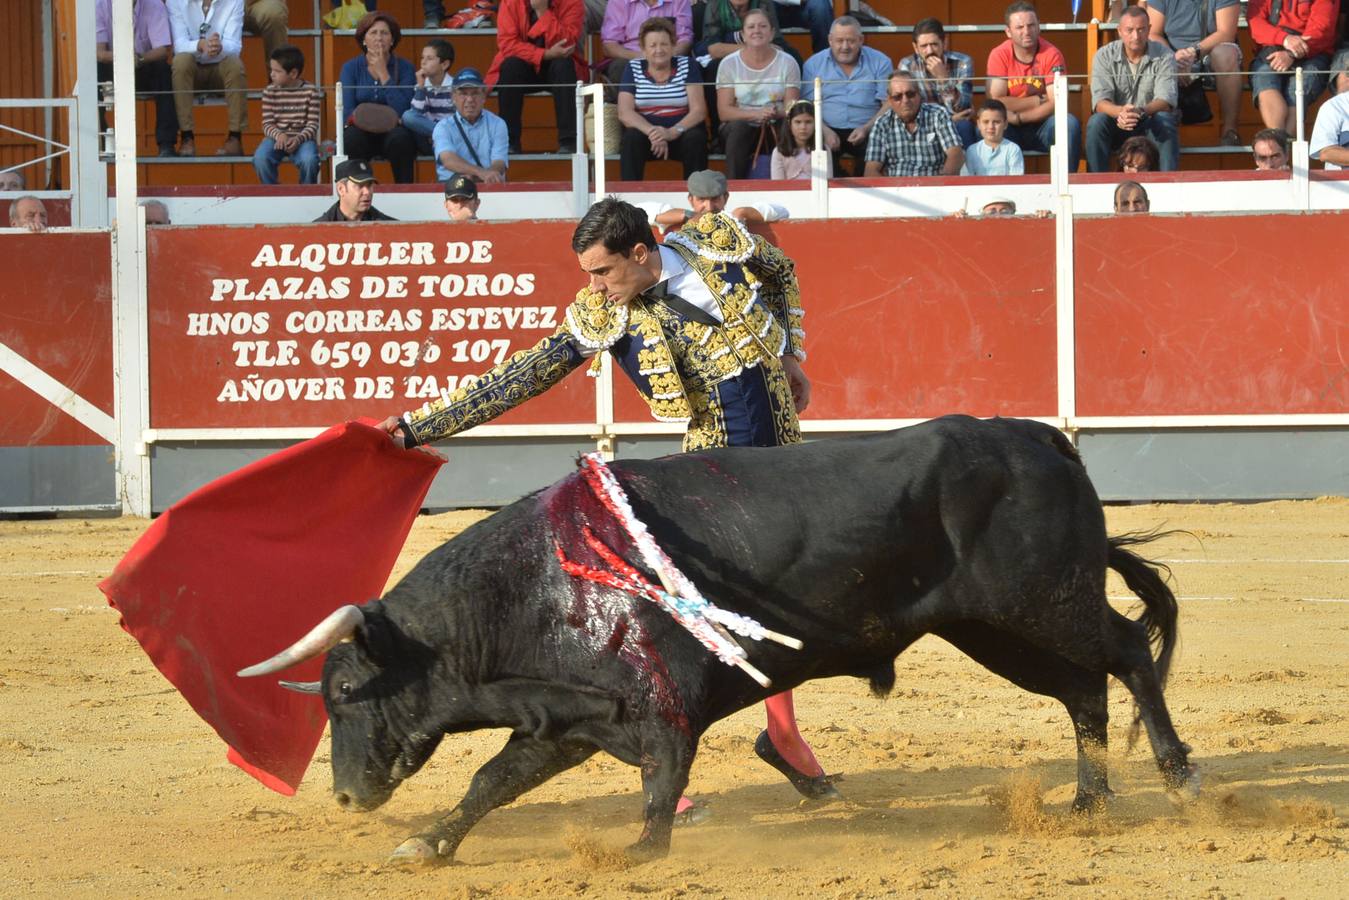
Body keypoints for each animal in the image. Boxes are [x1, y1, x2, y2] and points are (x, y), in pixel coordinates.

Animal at [242, 418, 1203, 863]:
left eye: (342, 693)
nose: (344, 796)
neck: (528, 590)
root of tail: (1044, 438)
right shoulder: (566, 721)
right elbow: (491, 781)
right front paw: (429, 845)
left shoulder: (660, 711)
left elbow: (660, 783)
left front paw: (639, 852)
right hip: (994, 628)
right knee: (1081, 687)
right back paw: (1086, 800)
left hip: (1039, 603)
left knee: (1123, 655)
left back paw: (1177, 776)